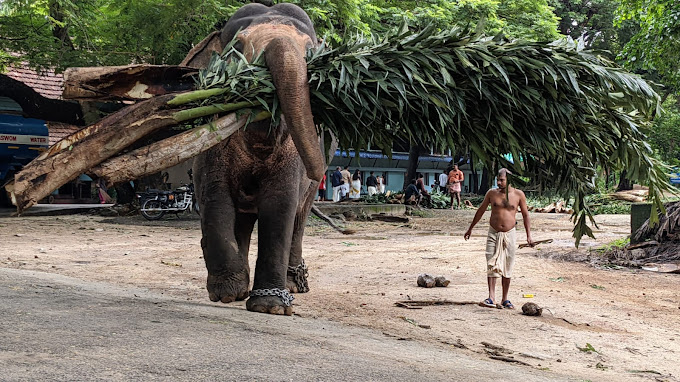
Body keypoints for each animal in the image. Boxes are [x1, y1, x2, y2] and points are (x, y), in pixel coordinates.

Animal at [179, 2, 328, 314]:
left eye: (311, 53)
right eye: (237, 47)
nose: (318, 172)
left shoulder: (292, 154)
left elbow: (280, 203)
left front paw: (270, 306)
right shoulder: (212, 142)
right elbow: (214, 196)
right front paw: (227, 294)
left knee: (299, 216)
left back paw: (292, 285)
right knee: (243, 218)